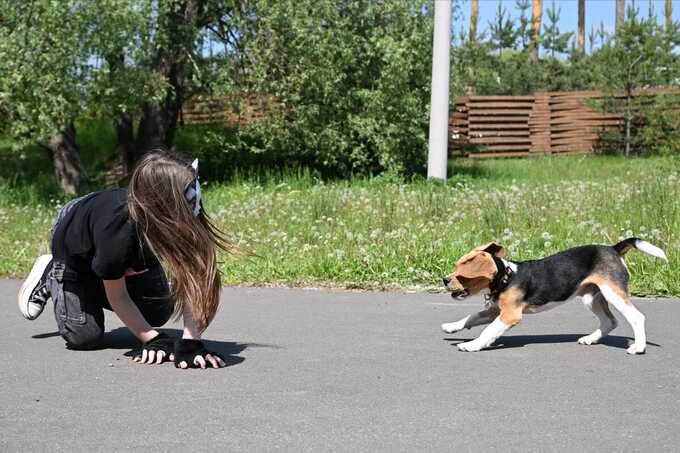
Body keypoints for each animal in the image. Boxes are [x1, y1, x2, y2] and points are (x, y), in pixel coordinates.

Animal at [440, 237, 668, 354]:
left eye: (461, 274)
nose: (444, 279)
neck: (506, 277)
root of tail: (613, 249)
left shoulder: (509, 315)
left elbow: (488, 331)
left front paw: (472, 345)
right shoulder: (495, 310)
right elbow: (471, 317)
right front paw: (451, 327)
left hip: (613, 293)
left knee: (636, 317)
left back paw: (638, 347)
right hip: (591, 297)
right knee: (609, 321)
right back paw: (590, 339)